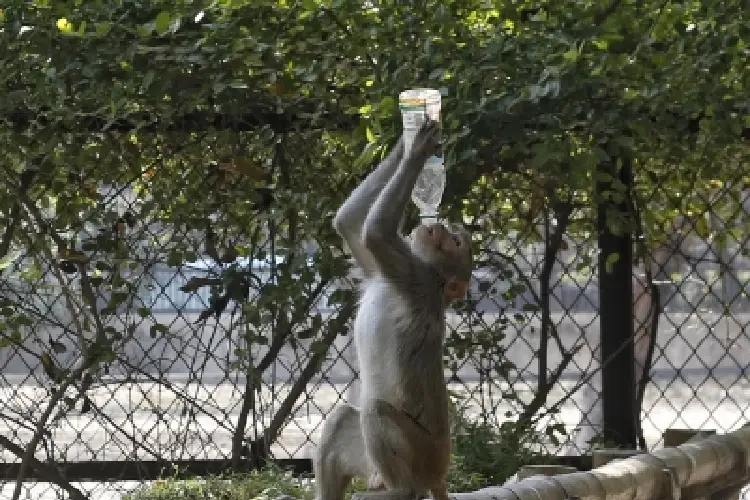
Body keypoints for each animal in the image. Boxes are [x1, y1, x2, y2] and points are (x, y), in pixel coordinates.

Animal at [318, 120, 476, 500]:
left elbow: (375, 233)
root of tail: (438, 474)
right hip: (372, 461)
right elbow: (349, 223)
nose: (439, 227)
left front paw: (417, 151)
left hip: (420, 453)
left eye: (456, 242)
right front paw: (406, 138)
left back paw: (402, 490)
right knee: (342, 418)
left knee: (376, 410)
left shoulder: (413, 275)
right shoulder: (384, 271)